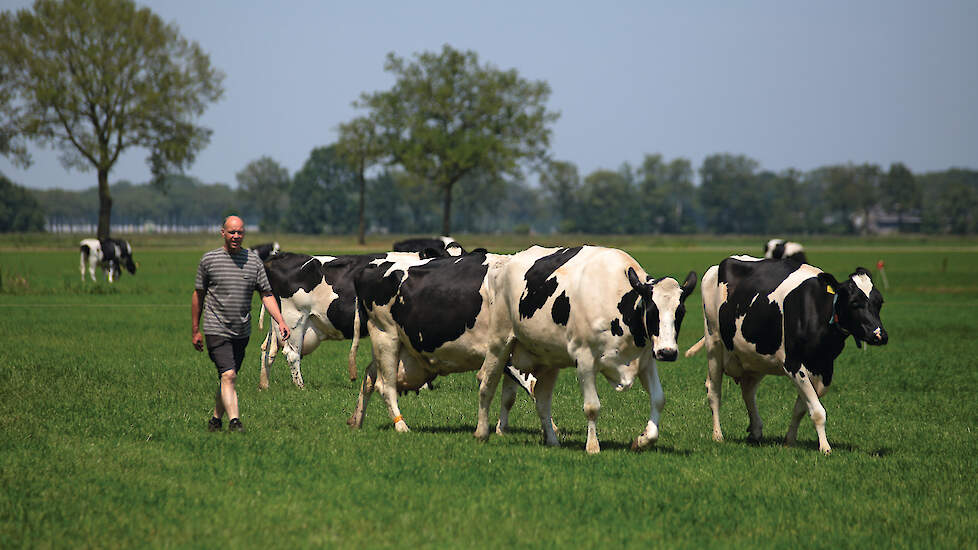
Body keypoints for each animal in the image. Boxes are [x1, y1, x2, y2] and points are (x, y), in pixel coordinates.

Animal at [346, 250, 536, 436]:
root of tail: (370, 266)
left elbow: (509, 398)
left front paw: (502, 430)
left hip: (392, 346)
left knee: (369, 376)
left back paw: (356, 421)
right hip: (385, 336)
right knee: (385, 385)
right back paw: (401, 426)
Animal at [474, 248, 692, 454]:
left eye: (680, 312)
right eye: (652, 311)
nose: (667, 352)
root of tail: (505, 262)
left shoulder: (646, 361)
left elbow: (658, 399)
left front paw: (642, 440)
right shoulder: (585, 359)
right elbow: (592, 407)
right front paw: (593, 446)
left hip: (548, 359)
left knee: (542, 401)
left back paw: (552, 440)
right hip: (499, 342)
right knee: (486, 384)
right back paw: (482, 432)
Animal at [688, 256, 884, 454]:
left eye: (880, 302)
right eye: (854, 303)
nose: (879, 335)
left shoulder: (826, 367)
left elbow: (802, 409)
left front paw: (789, 441)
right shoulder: (794, 364)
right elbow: (818, 411)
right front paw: (825, 448)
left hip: (755, 356)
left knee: (748, 392)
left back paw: (755, 431)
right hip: (714, 343)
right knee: (714, 391)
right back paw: (718, 435)